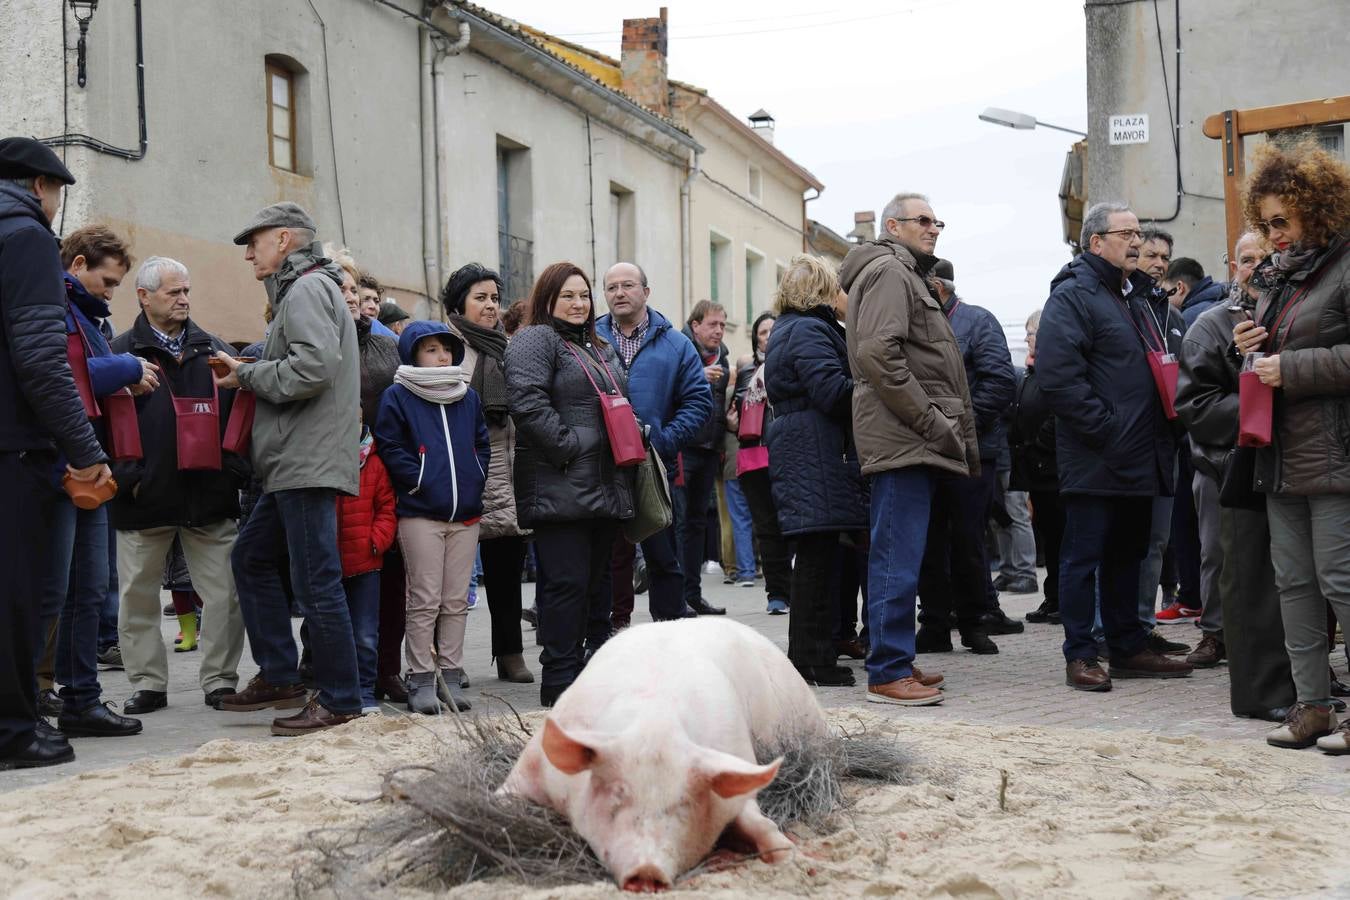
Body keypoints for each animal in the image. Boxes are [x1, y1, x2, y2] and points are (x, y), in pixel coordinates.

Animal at [499, 615, 826, 890]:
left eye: (683, 804)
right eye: (616, 795)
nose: (647, 871)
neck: (655, 719)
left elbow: (759, 822)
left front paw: (796, 860)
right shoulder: (532, 767)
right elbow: (504, 796)